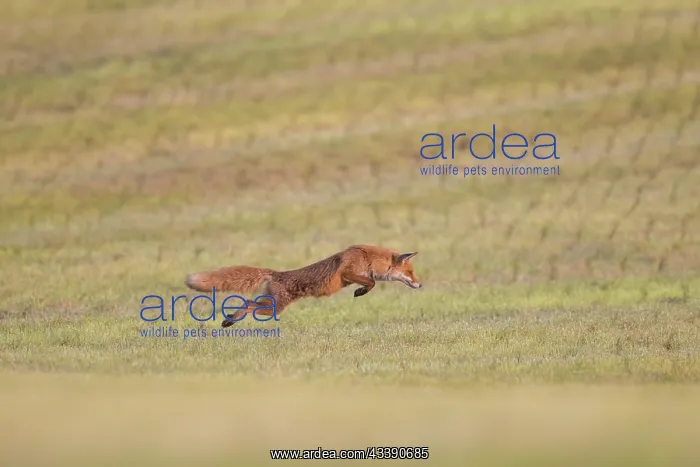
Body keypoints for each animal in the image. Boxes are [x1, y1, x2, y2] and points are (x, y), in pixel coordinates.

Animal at [184, 245, 421, 327]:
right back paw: (229, 321)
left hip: (270, 304)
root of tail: (277, 273)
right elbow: (370, 282)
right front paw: (360, 291)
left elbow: (371, 282)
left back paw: (230, 320)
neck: (369, 258)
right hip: (272, 308)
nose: (420, 284)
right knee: (247, 304)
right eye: (410, 272)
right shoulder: (348, 272)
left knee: (247, 302)